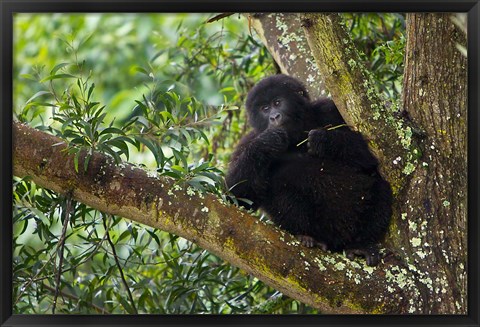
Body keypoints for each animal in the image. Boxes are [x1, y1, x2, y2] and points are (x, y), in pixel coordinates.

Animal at [227, 74, 392, 266]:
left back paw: (360, 244)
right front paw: (267, 142)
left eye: (277, 102)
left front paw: (325, 141)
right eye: (264, 109)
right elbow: (237, 197)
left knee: (380, 187)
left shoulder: (329, 109)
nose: (274, 117)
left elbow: (370, 157)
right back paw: (307, 237)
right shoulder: (247, 141)